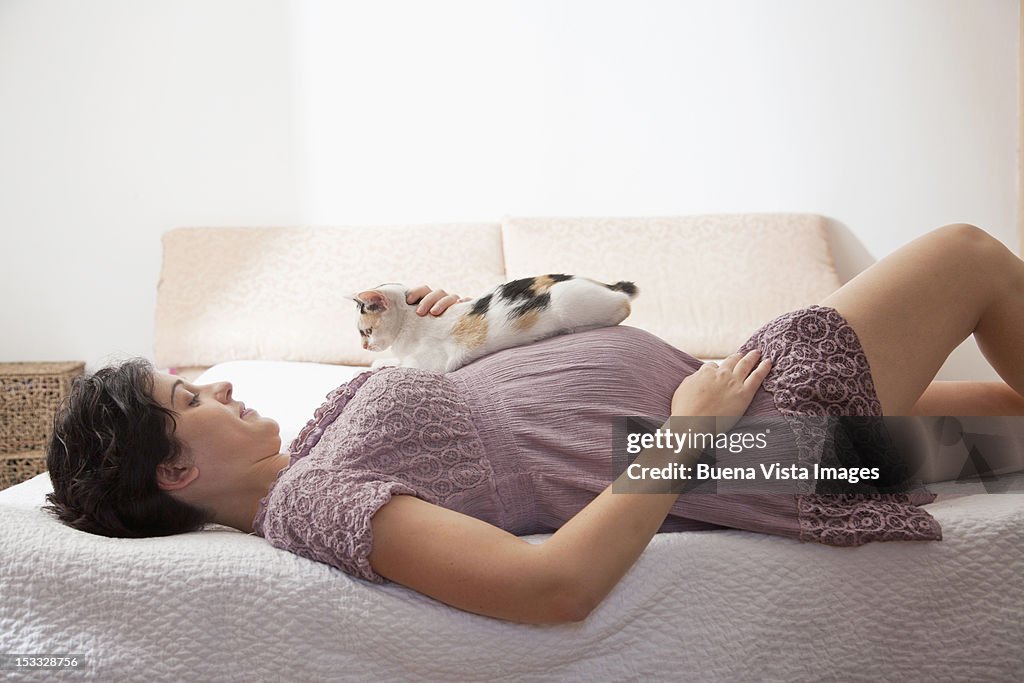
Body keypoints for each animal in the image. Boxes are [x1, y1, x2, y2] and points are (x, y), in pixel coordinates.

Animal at [352, 274, 638, 374]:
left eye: (365, 331)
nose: (364, 347)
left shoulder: (432, 363)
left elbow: (402, 364)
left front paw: (378, 365)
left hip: (567, 302)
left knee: (624, 305)